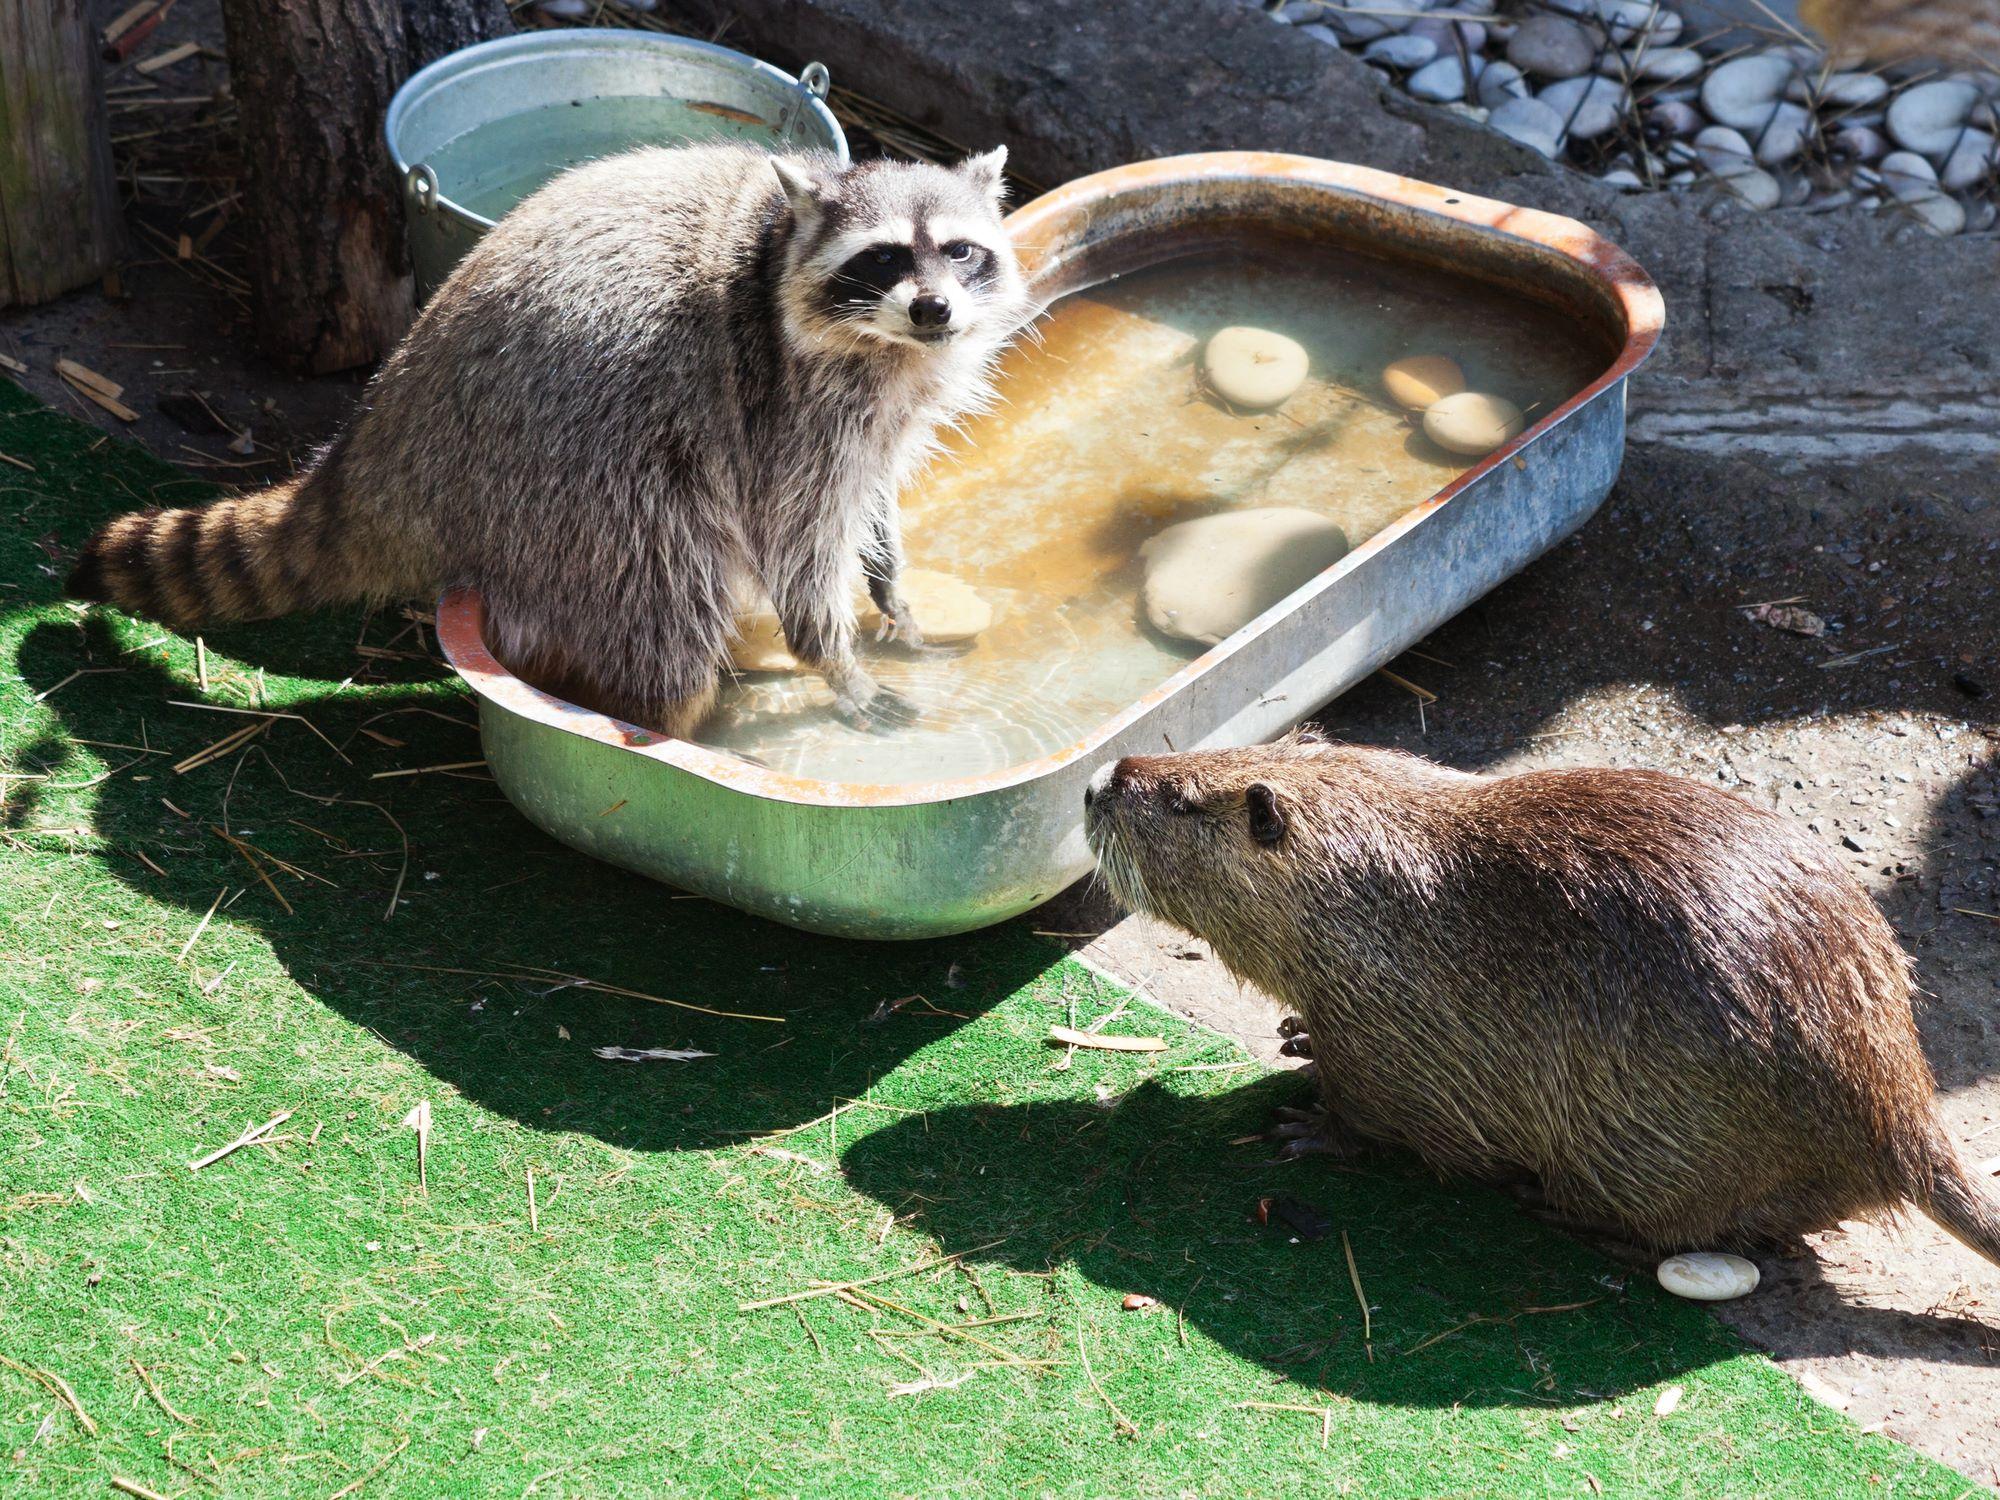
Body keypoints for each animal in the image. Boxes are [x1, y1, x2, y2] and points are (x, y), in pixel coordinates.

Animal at [66, 148, 1032, 740]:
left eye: (958, 251)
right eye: (881, 259)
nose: (934, 308)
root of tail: (376, 441)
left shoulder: (884, 407)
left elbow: (871, 498)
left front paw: (893, 588)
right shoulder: (783, 407)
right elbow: (797, 542)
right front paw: (834, 662)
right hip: (571, 482)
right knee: (664, 599)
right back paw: (672, 719)